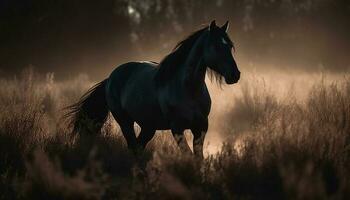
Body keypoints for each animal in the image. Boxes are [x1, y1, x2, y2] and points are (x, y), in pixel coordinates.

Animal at [66, 20, 241, 158]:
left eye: (230, 46)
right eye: (216, 46)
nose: (235, 75)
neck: (188, 89)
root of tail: (111, 77)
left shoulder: (201, 127)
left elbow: (199, 159)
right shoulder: (177, 128)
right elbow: (188, 155)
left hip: (148, 126)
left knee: (138, 147)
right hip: (125, 122)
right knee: (133, 146)